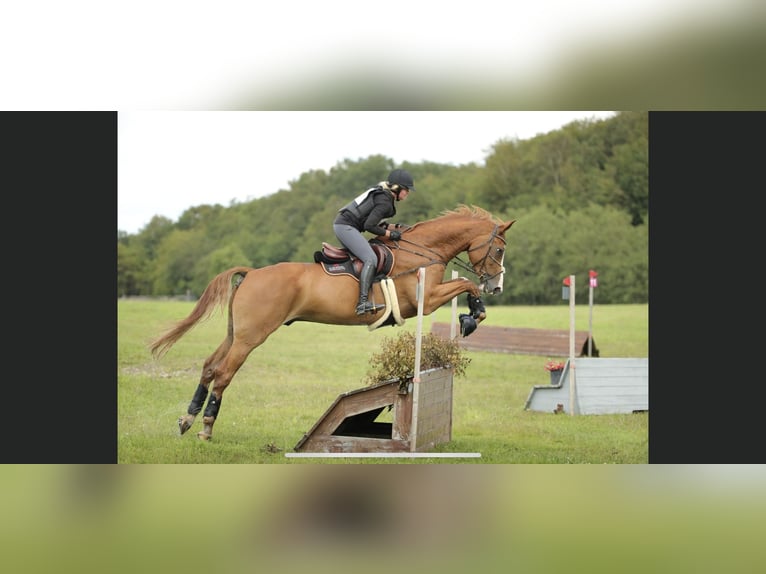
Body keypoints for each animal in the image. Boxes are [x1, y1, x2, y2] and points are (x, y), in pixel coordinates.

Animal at [150, 205, 520, 444]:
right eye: (500, 250)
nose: (497, 286)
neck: (425, 251)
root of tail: (252, 273)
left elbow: (465, 285)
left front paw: (471, 316)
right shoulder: (425, 301)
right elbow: (466, 284)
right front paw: (472, 317)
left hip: (235, 333)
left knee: (210, 366)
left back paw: (187, 419)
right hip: (250, 337)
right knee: (224, 373)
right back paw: (206, 427)